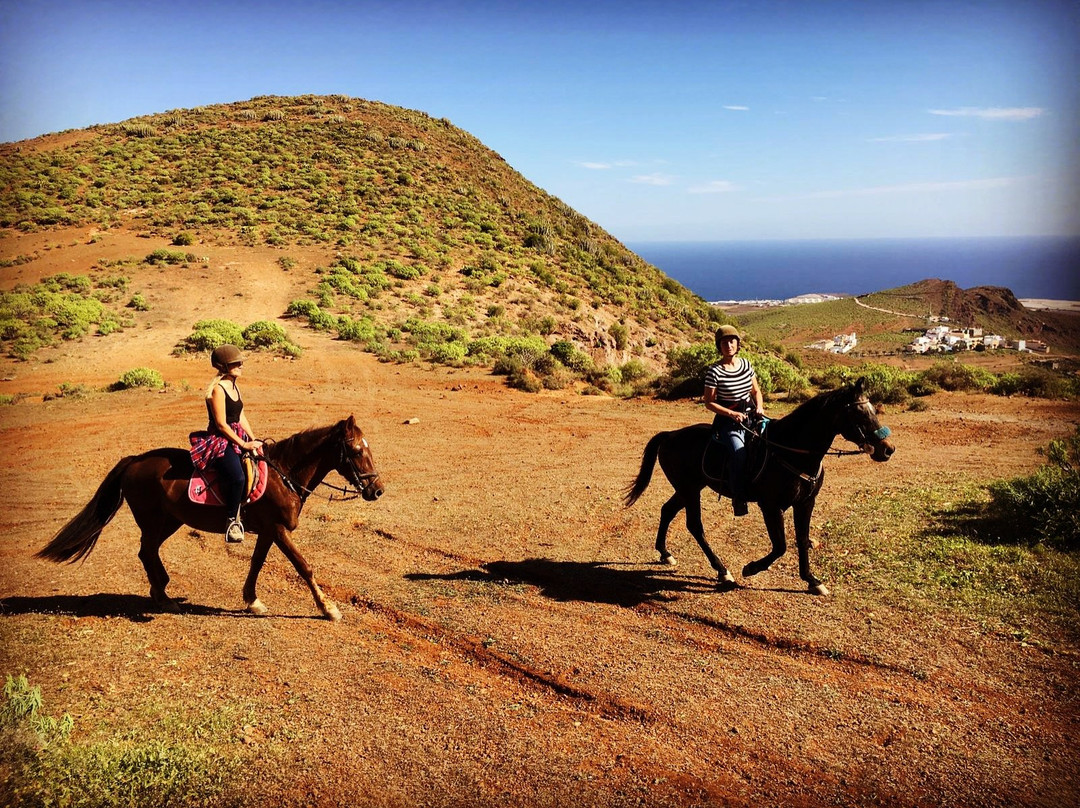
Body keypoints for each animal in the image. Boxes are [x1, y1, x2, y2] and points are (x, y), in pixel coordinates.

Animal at [36, 416, 384, 617]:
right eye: (355, 451)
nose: (377, 489)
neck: (283, 475)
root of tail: (135, 460)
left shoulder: (268, 531)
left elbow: (257, 563)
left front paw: (252, 600)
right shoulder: (278, 529)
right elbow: (304, 566)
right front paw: (328, 608)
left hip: (169, 521)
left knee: (148, 551)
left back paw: (161, 591)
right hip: (154, 520)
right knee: (146, 552)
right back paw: (163, 597)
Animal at [626, 378, 894, 591]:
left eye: (874, 410)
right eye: (859, 414)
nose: (887, 449)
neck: (790, 450)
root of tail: (670, 435)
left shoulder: (805, 503)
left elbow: (801, 539)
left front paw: (812, 580)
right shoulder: (771, 506)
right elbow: (781, 546)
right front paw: (751, 568)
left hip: (688, 488)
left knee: (667, 510)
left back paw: (665, 553)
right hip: (689, 490)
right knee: (694, 525)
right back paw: (722, 571)